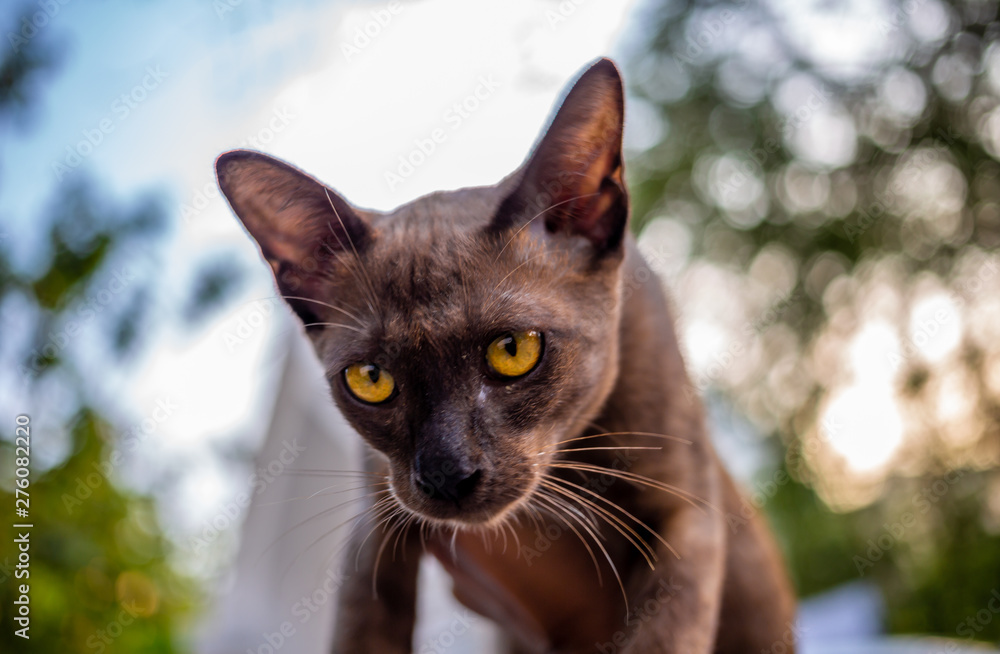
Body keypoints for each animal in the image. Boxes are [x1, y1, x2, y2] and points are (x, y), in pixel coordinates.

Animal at [217, 57, 796, 654]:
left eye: (513, 351)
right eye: (371, 378)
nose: (447, 475)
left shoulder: (686, 512)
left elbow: (663, 639)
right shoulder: (376, 526)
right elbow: (366, 635)